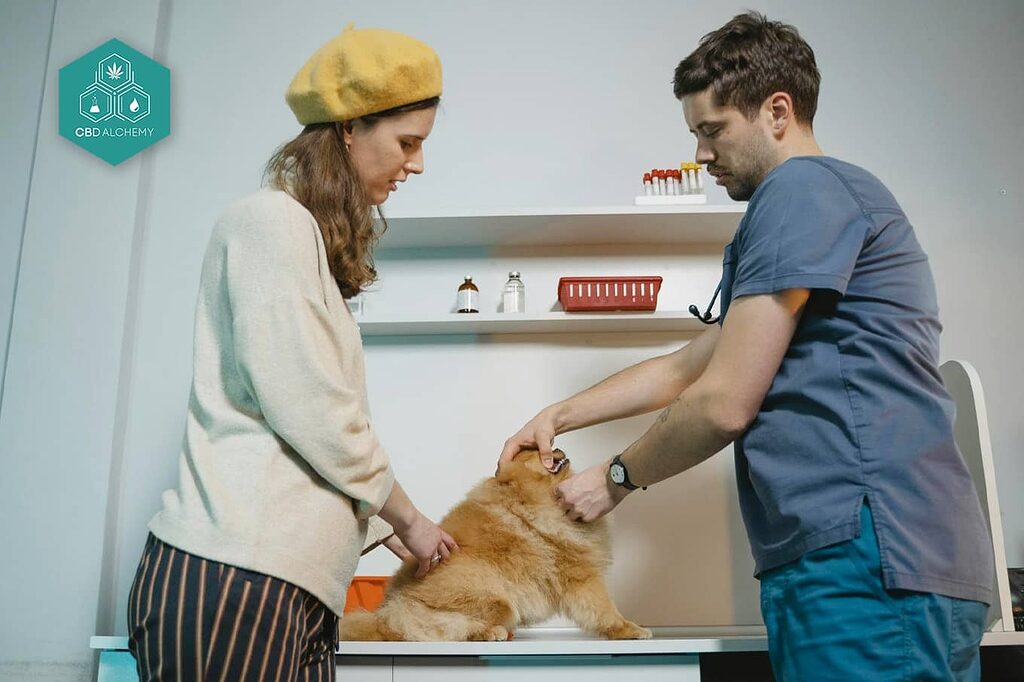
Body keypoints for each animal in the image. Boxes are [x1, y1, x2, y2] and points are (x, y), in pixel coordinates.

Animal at [339, 448, 651, 638]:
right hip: (497, 601)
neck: (530, 497)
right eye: (535, 453)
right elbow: (605, 610)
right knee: (437, 630)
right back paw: (490, 633)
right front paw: (630, 629)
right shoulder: (581, 575)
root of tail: (386, 612)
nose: (556, 448)